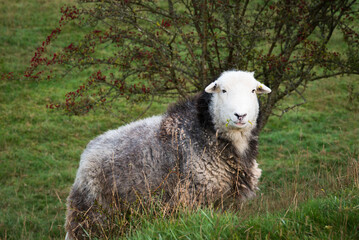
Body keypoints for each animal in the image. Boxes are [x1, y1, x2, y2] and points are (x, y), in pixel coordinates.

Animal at [65, 70, 272, 239]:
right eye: (223, 90)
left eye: (253, 91)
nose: (240, 116)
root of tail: (89, 149)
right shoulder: (195, 197)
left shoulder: (229, 200)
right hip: (91, 210)